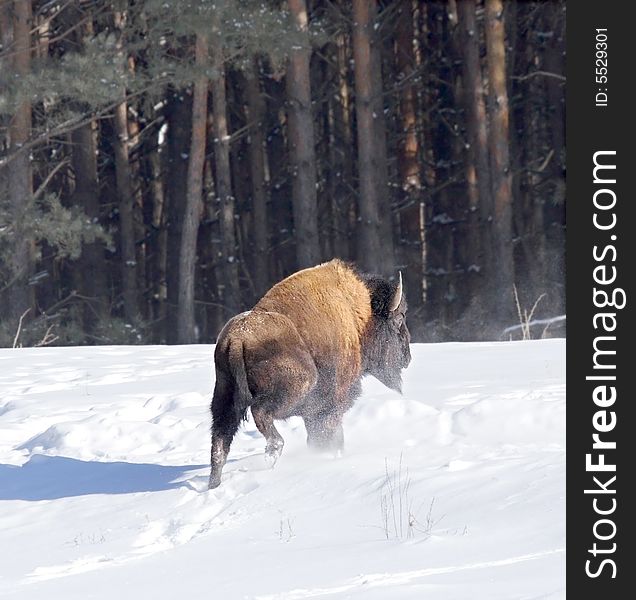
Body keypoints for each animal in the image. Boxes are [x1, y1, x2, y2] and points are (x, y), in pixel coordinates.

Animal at [206, 258, 410, 488]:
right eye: (399, 319)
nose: (407, 356)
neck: (359, 318)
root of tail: (237, 338)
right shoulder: (331, 406)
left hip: (224, 395)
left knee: (220, 441)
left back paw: (214, 483)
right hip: (300, 385)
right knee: (260, 413)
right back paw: (274, 450)